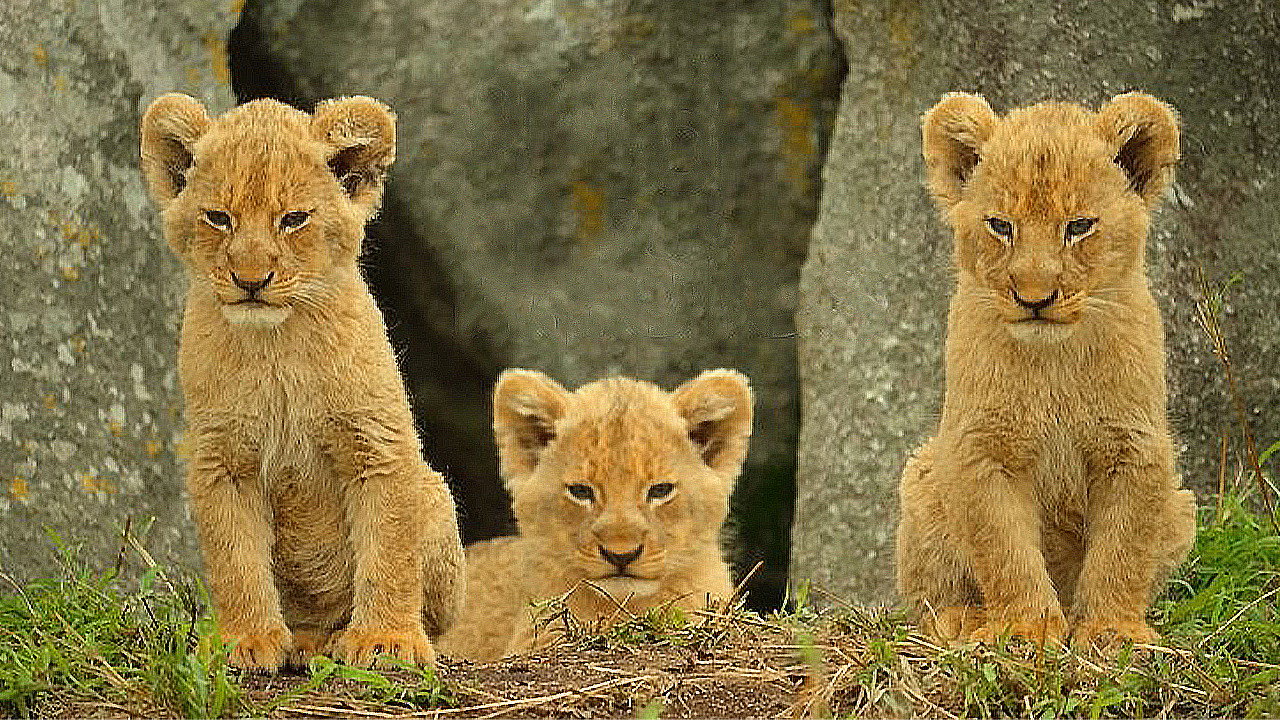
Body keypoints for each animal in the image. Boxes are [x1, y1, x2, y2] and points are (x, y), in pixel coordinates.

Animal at [139, 94, 465, 671]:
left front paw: (387, 642)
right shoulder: (221, 459)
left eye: (293, 219)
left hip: (434, 493)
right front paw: (245, 641)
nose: (250, 281)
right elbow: (234, 559)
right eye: (218, 218)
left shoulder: (377, 444)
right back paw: (307, 641)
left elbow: (390, 549)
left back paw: (341, 638)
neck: (276, 346)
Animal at [895, 92, 1197, 647]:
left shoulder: (1134, 446)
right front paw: (1024, 628)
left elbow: (1123, 548)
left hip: (1181, 506)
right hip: (923, 475)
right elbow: (1003, 547)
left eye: (1078, 226)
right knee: (928, 596)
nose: (1034, 298)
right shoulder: (982, 447)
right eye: (1000, 225)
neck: (1054, 359)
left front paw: (1111, 630)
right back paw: (961, 618)